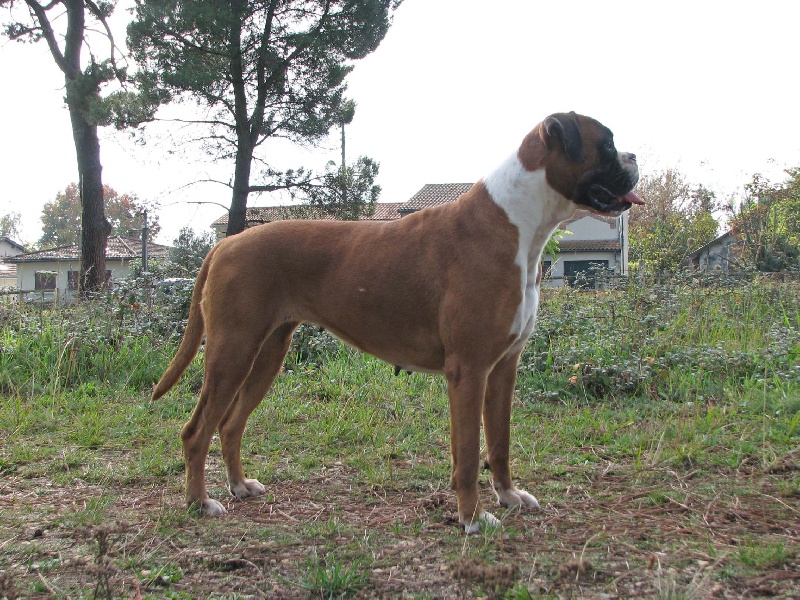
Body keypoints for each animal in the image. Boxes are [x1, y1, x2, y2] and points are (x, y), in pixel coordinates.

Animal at [152, 112, 642, 533]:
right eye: (608, 142)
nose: (635, 157)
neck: (519, 222)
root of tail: (225, 244)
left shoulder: (504, 368)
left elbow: (497, 443)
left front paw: (507, 496)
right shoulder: (469, 371)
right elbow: (469, 453)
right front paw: (472, 518)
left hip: (266, 355)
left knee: (230, 424)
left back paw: (239, 486)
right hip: (232, 353)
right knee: (196, 430)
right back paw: (200, 502)